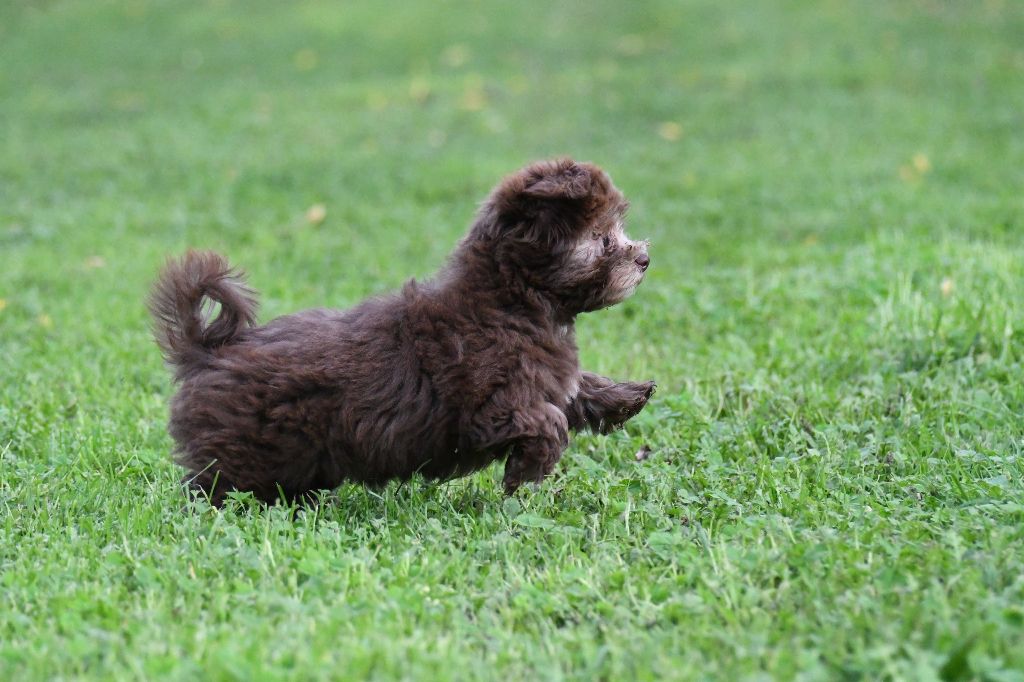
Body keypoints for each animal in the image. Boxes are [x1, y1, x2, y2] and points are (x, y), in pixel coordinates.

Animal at [148, 156, 651, 501]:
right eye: (602, 238)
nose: (644, 258)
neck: (512, 299)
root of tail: (209, 351)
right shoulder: (489, 406)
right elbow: (546, 421)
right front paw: (524, 472)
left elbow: (575, 390)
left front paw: (628, 395)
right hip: (243, 451)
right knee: (216, 487)